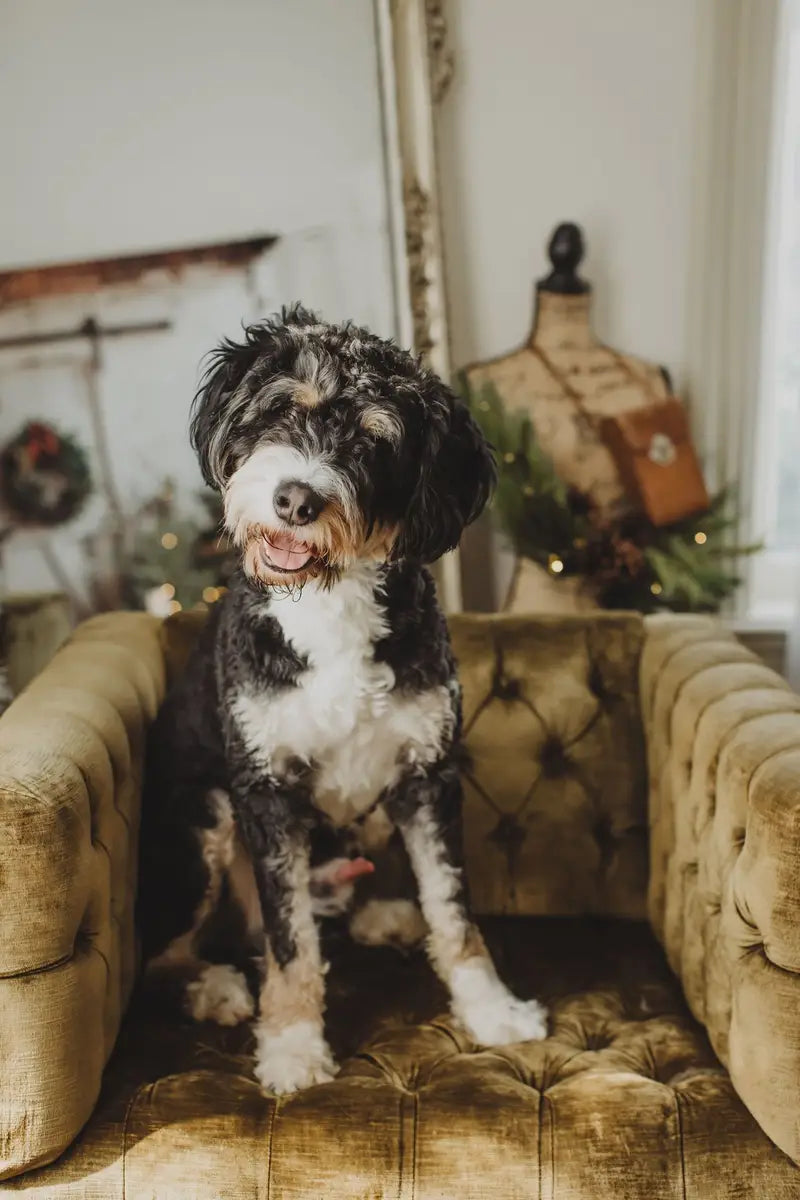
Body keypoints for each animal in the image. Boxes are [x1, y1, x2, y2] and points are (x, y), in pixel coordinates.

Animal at [139, 307, 551, 1099]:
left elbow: (454, 910)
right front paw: (293, 1045)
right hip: (202, 818)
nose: (296, 500)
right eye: (280, 410)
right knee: (169, 953)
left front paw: (491, 1009)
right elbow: (289, 939)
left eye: (372, 439)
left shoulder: (429, 773)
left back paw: (378, 914)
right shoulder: (264, 789)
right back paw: (215, 987)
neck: (329, 600)